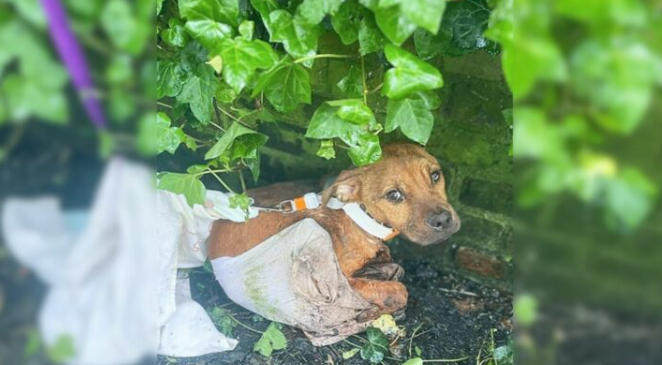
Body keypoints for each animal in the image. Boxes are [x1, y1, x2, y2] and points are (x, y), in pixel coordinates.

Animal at [209, 142, 462, 318]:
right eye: (394, 195)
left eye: (435, 175)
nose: (443, 220)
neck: (360, 219)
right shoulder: (342, 283)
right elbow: (399, 290)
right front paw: (375, 309)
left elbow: (395, 270)